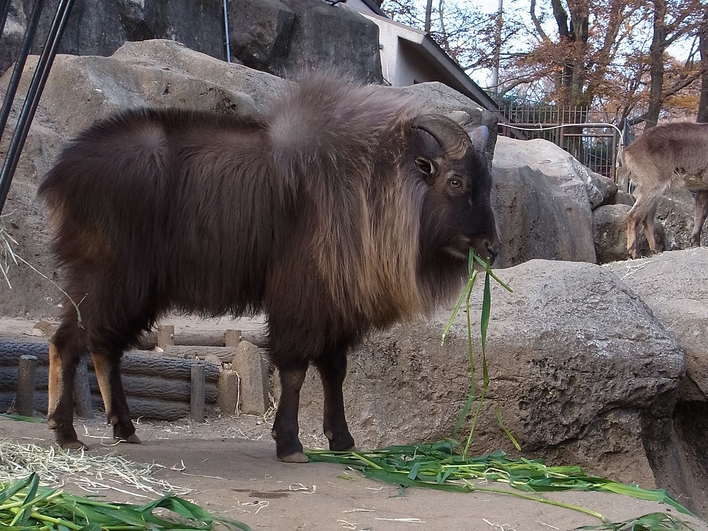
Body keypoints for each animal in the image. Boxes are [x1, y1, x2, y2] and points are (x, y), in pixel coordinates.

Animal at [40, 74, 498, 462]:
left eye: (487, 184)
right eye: (456, 181)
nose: (490, 247)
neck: (371, 186)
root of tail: (62, 173)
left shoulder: (334, 308)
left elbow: (334, 372)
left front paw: (342, 439)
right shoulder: (301, 301)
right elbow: (294, 371)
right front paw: (290, 443)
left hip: (135, 290)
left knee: (103, 347)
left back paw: (124, 427)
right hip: (107, 278)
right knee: (68, 341)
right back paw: (65, 432)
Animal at [624, 122, 708, 260]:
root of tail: (628, 151)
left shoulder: (704, 187)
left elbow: (701, 213)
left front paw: (695, 242)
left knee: (647, 218)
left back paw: (656, 249)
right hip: (653, 184)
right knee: (634, 215)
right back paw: (635, 252)